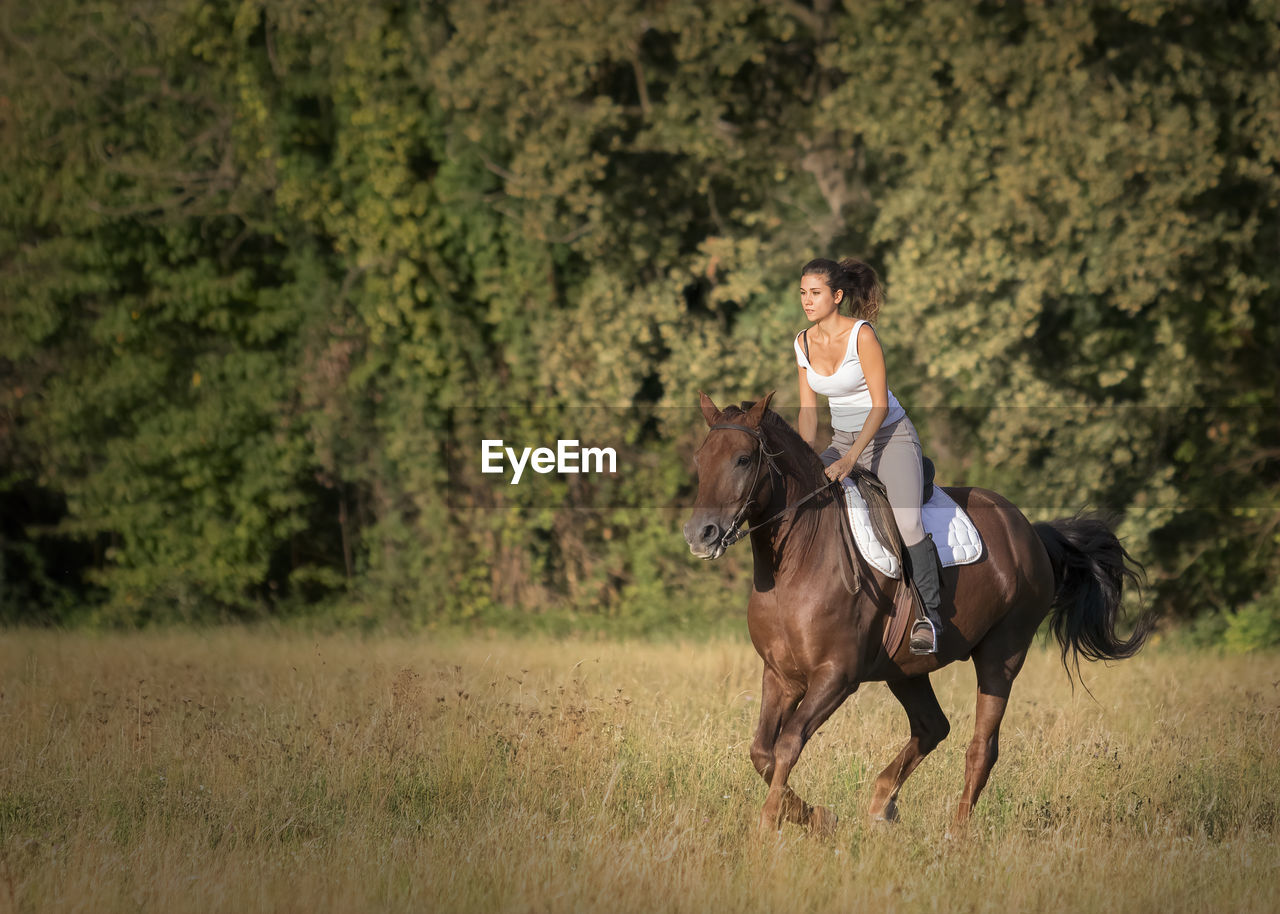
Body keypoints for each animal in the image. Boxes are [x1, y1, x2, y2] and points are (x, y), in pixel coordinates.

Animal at [686, 389, 1146, 829]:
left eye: (743, 459)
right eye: (700, 459)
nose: (699, 534)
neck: (799, 562)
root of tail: (1030, 531)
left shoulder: (836, 677)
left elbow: (787, 745)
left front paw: (770, 824)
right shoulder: (780, 675)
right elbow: (762, 751)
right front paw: (817, 817)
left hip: (1002, 656)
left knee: (981, 749)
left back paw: (955, 834)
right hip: (905, 669)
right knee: (932, 726)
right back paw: (880, 805)